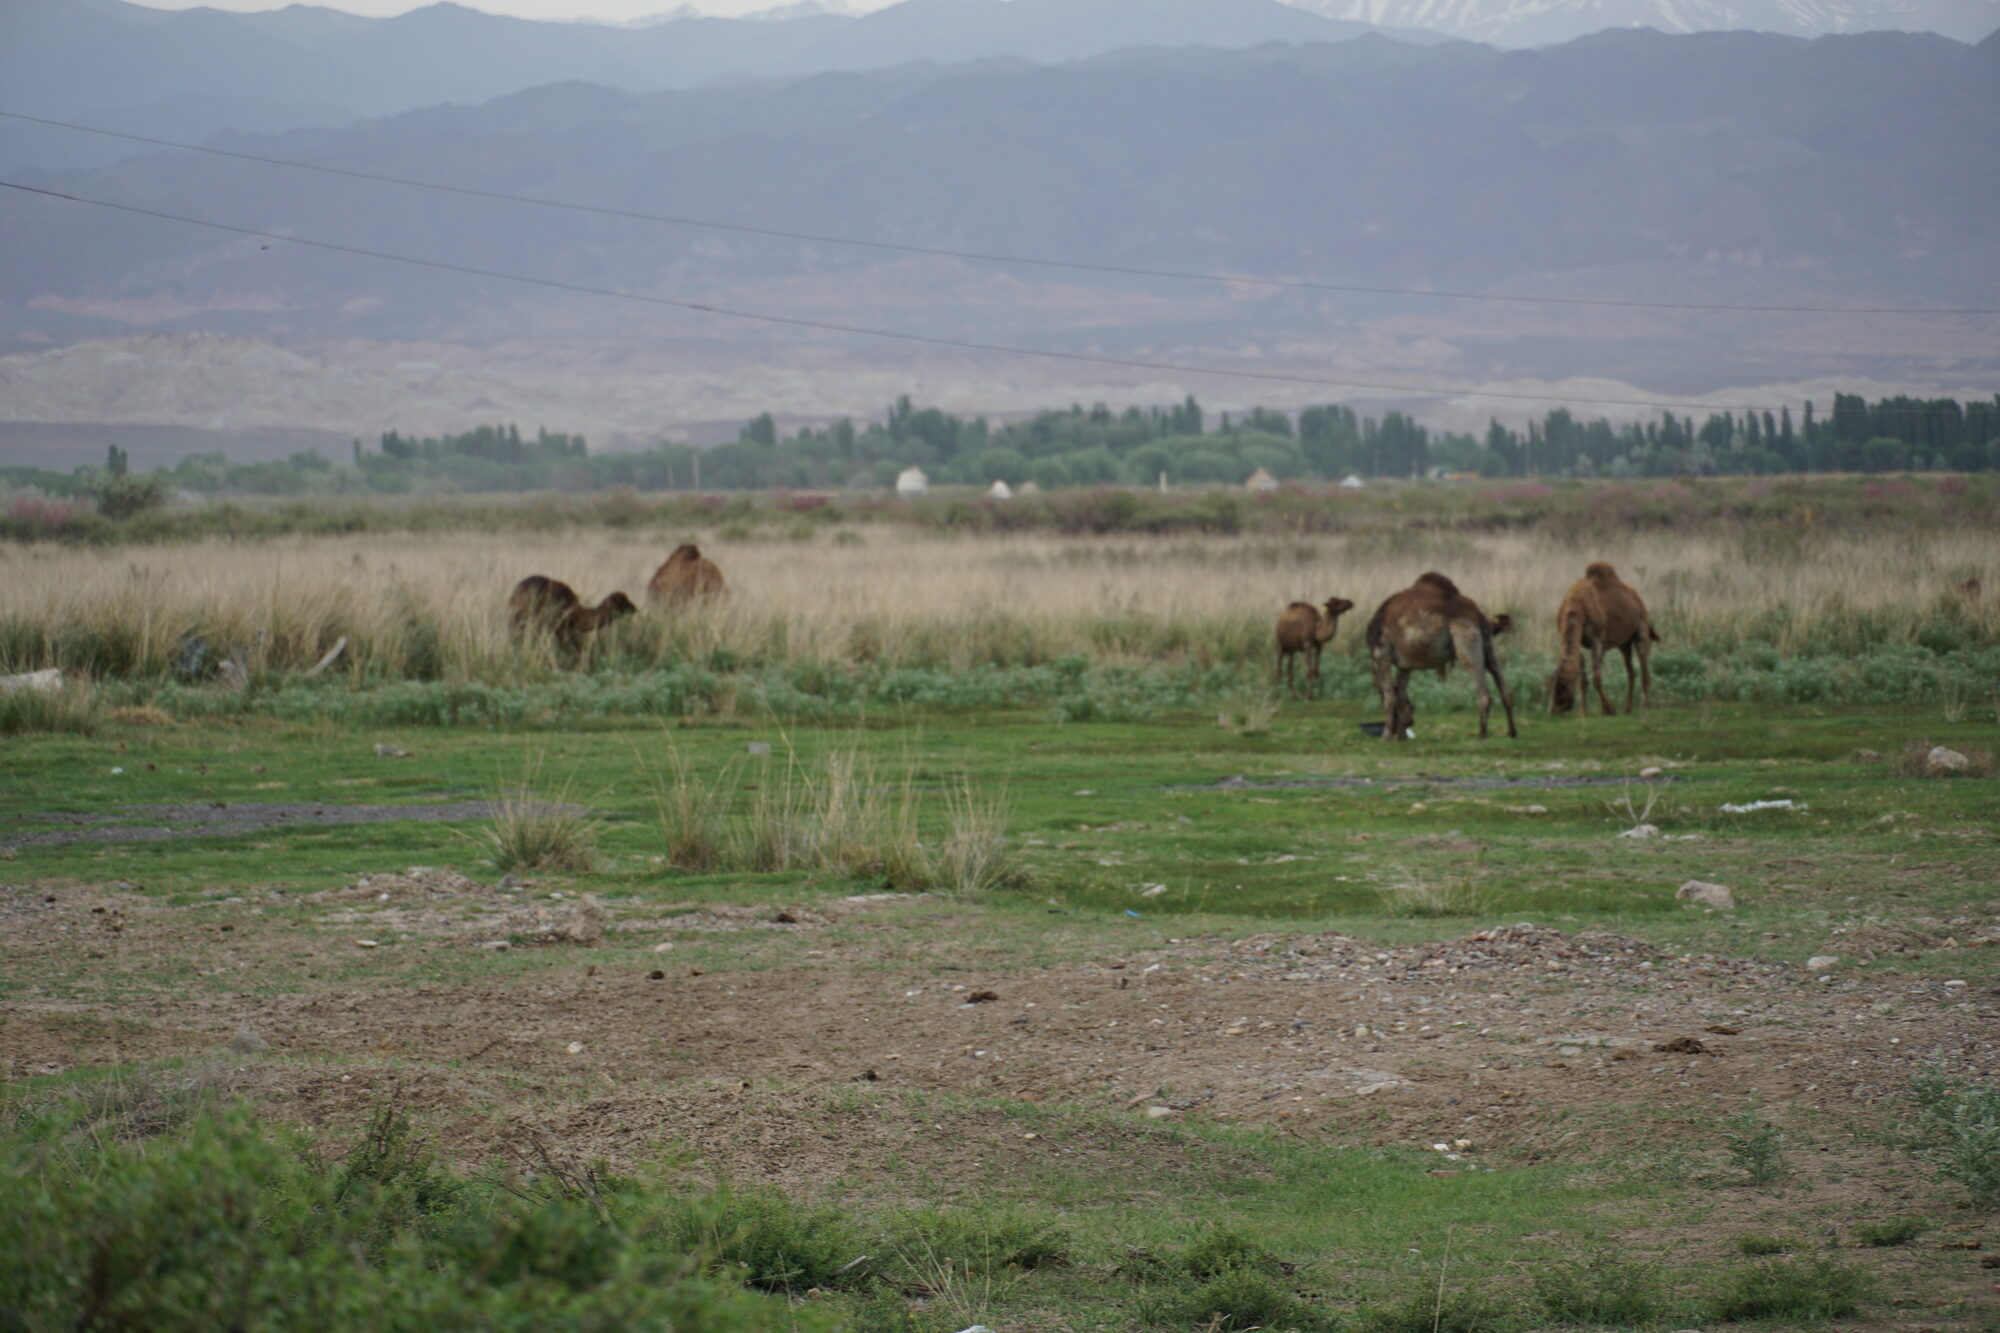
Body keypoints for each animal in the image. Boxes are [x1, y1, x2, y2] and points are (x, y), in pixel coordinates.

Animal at [508, 575, 638, 653]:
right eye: (624, 602)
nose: (634, 608)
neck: (577, 613)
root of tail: (515, 592)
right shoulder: (560, 628)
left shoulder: (567, 630)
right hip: (521, 618)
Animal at [1366, 572, 1517, 741]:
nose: (1410, 722)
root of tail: (1478, 613)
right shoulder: (1405, 665)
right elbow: (1401, 695)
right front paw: (1400, 737)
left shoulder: (1381, 652)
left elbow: (1390, 697)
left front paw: (1385, 737)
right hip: (1488, 642)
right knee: (1503, 684)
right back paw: (1511, 732)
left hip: (1465, 637)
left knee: (1483, 692)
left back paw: (1482, 734)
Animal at [1549, 561, 1659, 717]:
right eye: (1550, 689)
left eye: (1563, 688)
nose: (1555, 711)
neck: (1577, 608)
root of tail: (1636, 596)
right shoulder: (1580, 643)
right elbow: (1583, 678)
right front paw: (1583, 711)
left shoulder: (1597, 640)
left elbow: (1596, 678)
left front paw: (1609, 709)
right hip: (1624, 643)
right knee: (1631, 672)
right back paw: (1627, 708)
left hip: (1641, 628)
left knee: (1644, 667)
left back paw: (1645, 708)